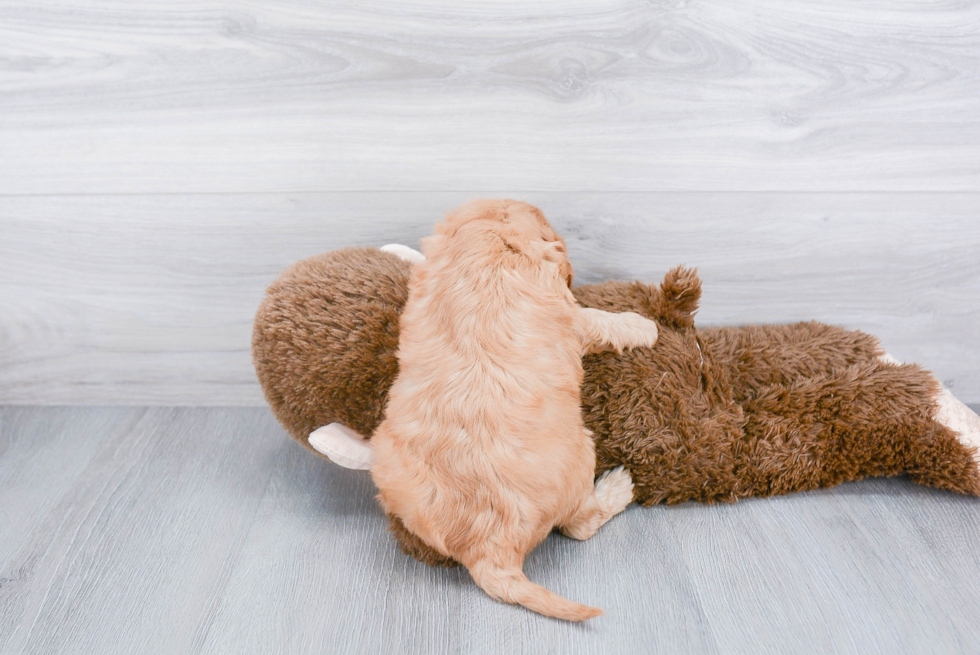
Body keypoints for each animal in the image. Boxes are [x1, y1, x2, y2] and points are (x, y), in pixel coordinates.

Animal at [372, 199, 664, 620]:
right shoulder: (573, 317)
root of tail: (488, 550)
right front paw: (644, 325)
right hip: (581, 454)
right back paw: (619, 485)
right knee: (579, 524)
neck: (485, 244)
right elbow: (602, 322)